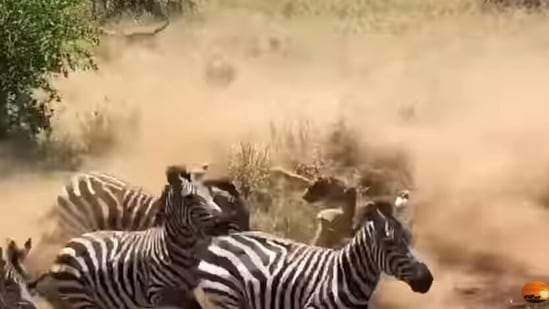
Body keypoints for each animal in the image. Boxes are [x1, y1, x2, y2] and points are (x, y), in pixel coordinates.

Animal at [193, 200, 432, 308]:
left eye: (408, 240)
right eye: (390, 244)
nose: (428, 280)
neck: (347, 277)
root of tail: (219, 239)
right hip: (225, 296)